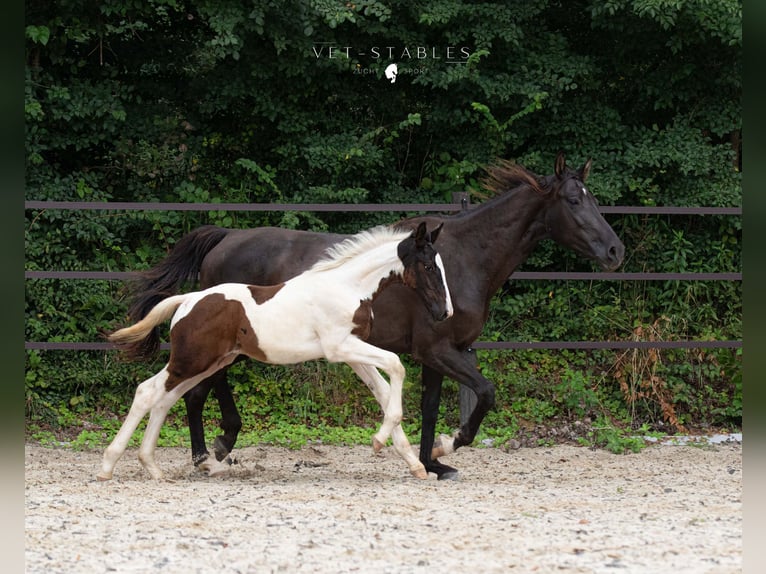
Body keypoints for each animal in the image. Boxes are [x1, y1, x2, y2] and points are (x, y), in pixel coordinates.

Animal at [129, 153, 628, 482]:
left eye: (591, 197)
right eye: (573, 200)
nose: (615, 251)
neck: (464, 259)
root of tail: (224, 237)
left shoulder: (439, 353)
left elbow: (429, 406)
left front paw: (430, 462)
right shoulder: (439, 349)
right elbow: (484, 394)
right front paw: (447, 445)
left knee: (194, 392)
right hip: (224, 347)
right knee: (196, 393)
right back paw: (211, 452)